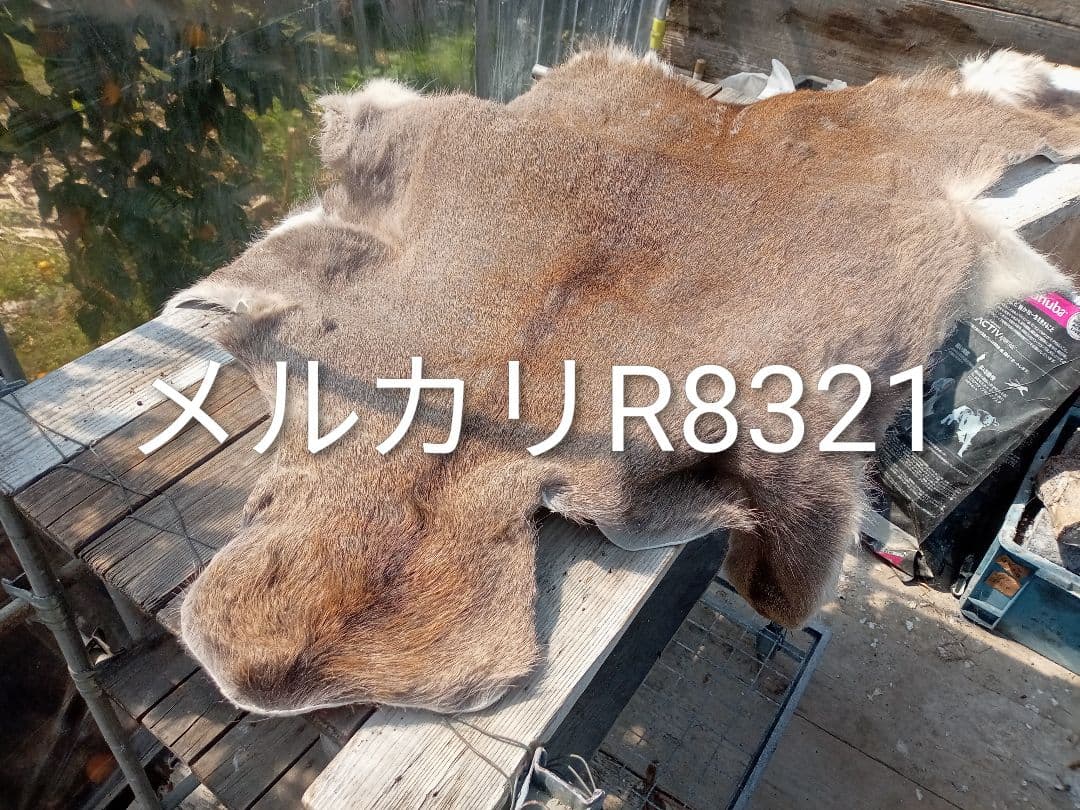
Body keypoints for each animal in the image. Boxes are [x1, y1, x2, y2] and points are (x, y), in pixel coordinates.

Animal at [167, 47, 1080, 716]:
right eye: (265, 498)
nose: (271, 671)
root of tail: (729, 115)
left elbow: (784, 588)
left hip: (913, 131)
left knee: (990, 100)